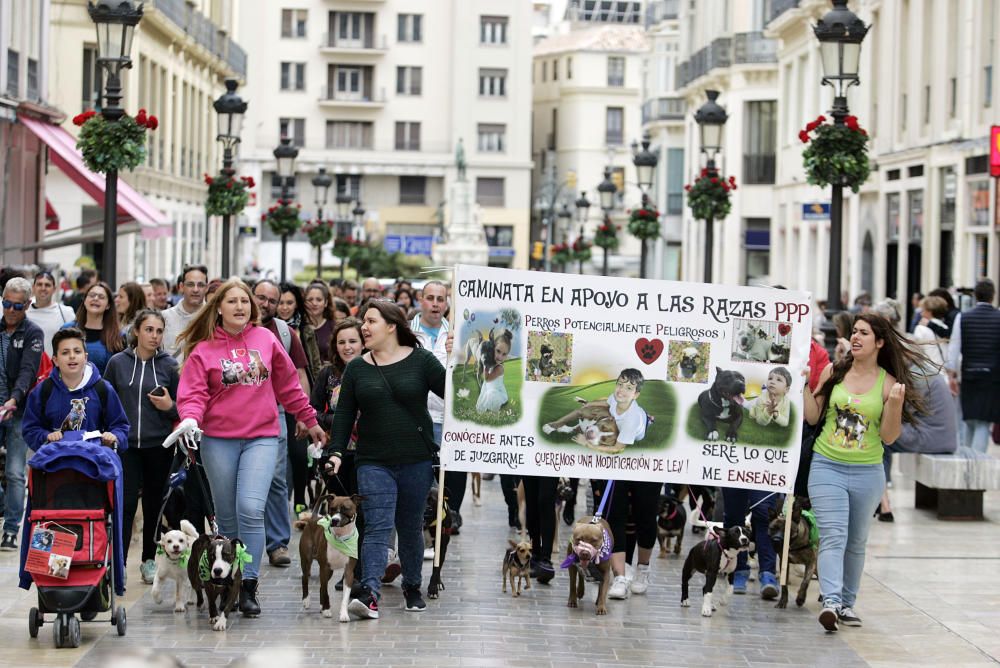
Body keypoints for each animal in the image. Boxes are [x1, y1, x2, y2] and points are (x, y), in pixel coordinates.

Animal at [292, 494, 364, 624]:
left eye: (346, 509)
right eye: (332, 509)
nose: (334, 520)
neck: (341, 537)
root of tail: (314, 518)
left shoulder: (348, 571)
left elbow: (344, 596)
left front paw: (344, 614)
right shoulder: (324, 567)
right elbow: (325, 590)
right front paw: (327, 610)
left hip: (330, 571)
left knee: (321, 586)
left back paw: (321, 606)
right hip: (307, 561)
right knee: (305, 578)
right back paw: (306, 600)